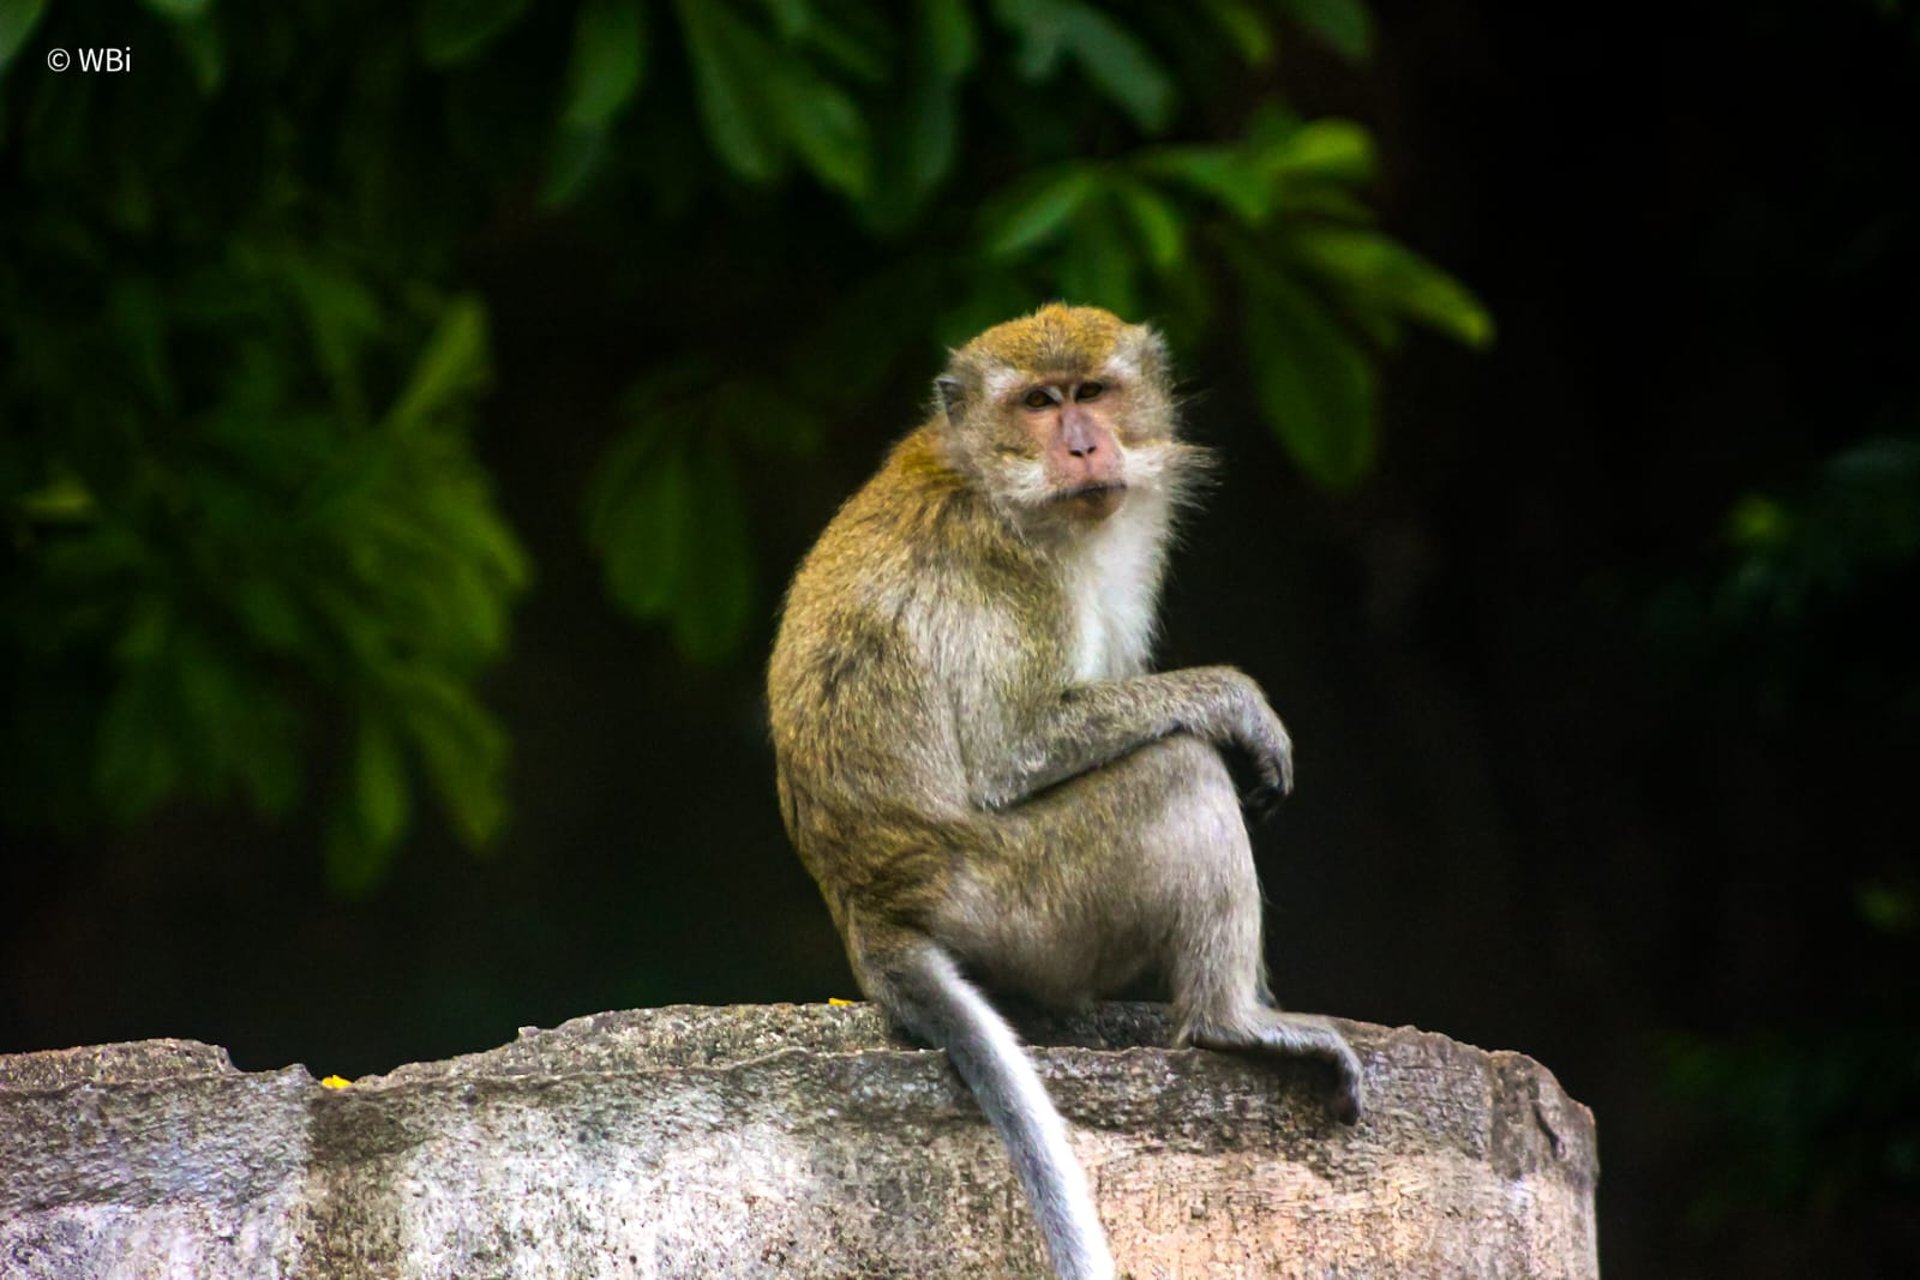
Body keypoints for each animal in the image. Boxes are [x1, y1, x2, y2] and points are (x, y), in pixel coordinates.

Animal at [767, 303, 1363, 1280]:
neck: (994, 477)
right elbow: (1012, 750)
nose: (1084, 445)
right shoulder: (1008, 575)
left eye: (1092, 392)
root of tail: (872, 909)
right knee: (1179, 770)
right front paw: (1236, 699)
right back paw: (1228, 1021)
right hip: (1026, 903)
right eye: (1040, 404)